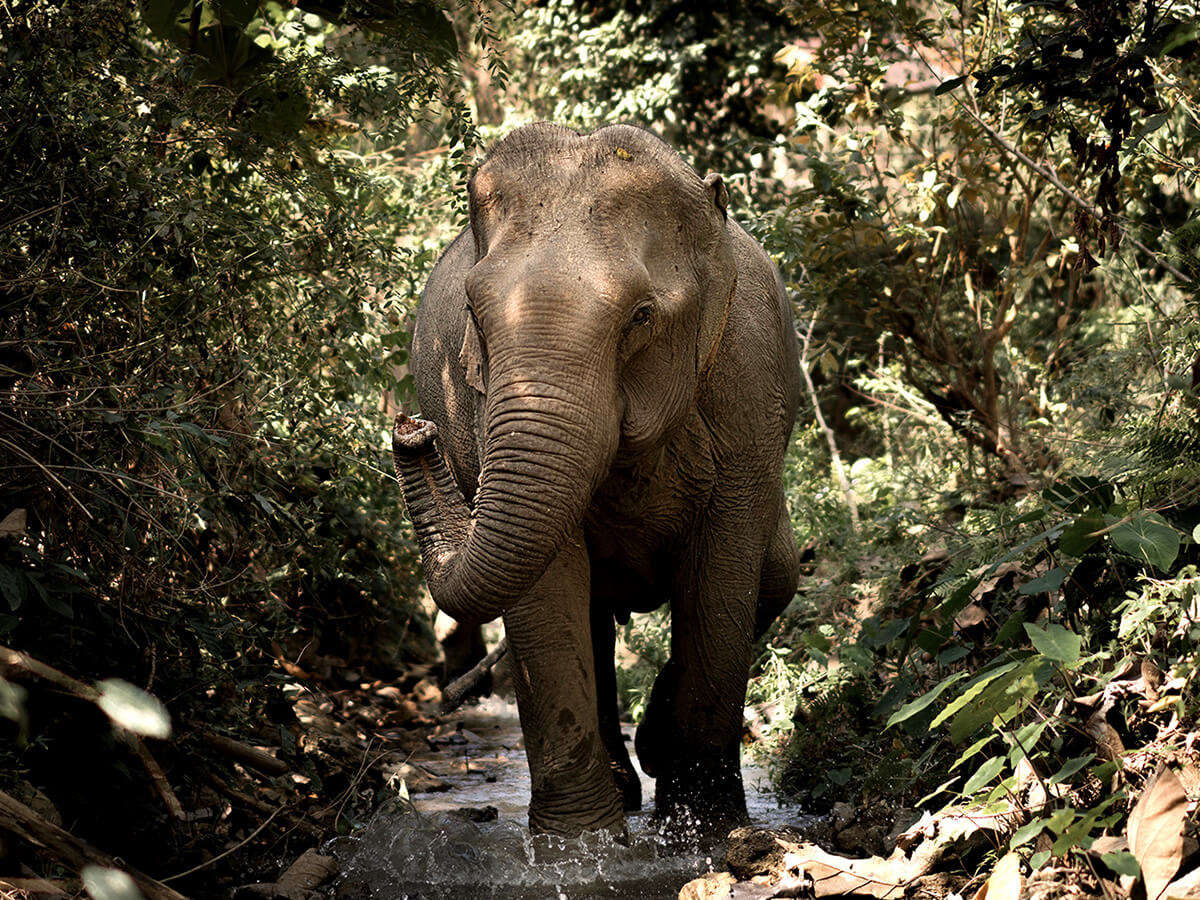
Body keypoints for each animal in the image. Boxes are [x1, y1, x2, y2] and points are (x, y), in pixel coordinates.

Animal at [392, 122, 801, 841]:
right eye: (473, 311)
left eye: (641, 315)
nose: (413, 430)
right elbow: (549, 589)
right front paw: (580, 848)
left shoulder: (748, 390)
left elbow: (722, 575)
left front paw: (704, 832)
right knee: (591, 614)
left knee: (775, 574)